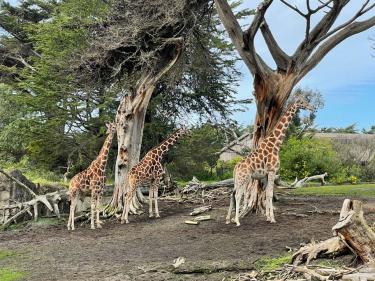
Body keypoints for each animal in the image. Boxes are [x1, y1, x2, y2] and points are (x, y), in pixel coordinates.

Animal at [228, 96, 312, 225]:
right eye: (303, 102)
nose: (312, 108)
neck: (275, 144)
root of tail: (236, 167)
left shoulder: (266, 175)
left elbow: (267, 194)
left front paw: (268, 217)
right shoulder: (272, 171)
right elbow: (270, 194)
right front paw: (272, 218)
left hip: (237, 179)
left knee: (233, 194)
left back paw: (229, 219)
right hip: (244, 179)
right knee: (238, 195)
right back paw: (237, 221)